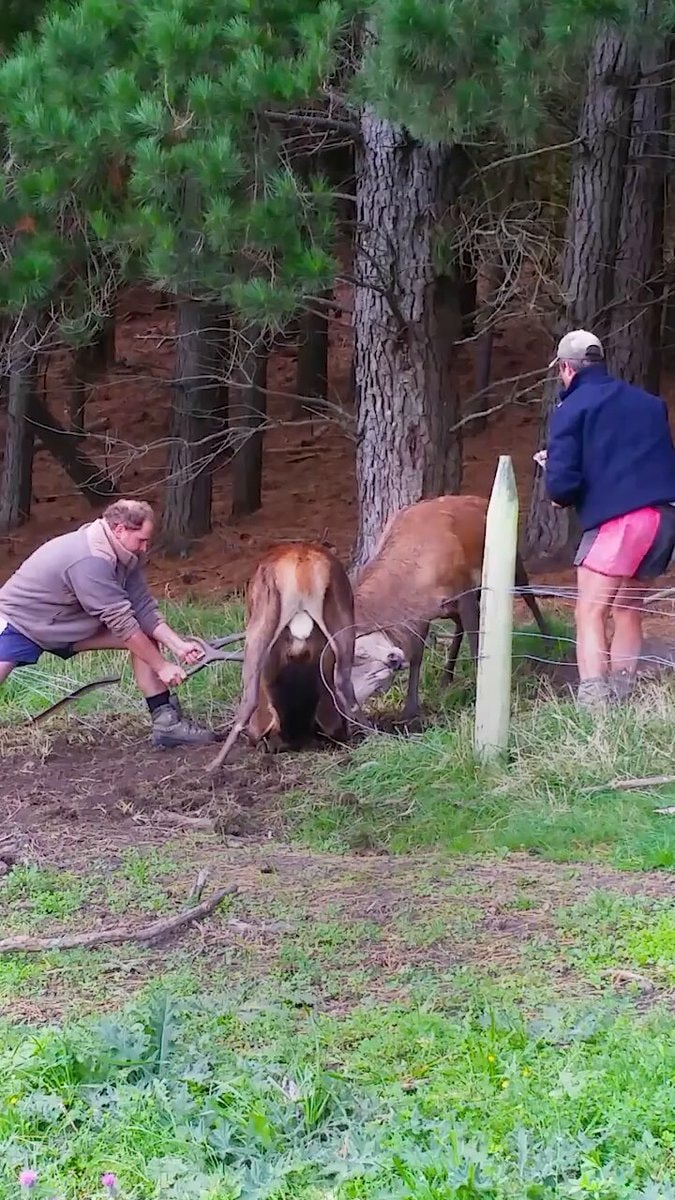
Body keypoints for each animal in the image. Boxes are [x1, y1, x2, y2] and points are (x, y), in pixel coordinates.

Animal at [206, 541, 400, 774]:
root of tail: (302, 566)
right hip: (342, 618)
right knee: (343, 683)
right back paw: (369, 735)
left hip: (261, 619)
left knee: (249, 698)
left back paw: (215, 763)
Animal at [351, 494, 550, 723]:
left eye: (357, 657)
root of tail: (481, 499)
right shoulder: (425, 613)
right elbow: (417, 655)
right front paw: (410, 710)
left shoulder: (465, 593)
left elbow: (475, 645)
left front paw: (478, 694)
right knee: (459, 626)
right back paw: (447, 676)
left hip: (512, 563)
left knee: (528, 594)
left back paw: (549, 642)